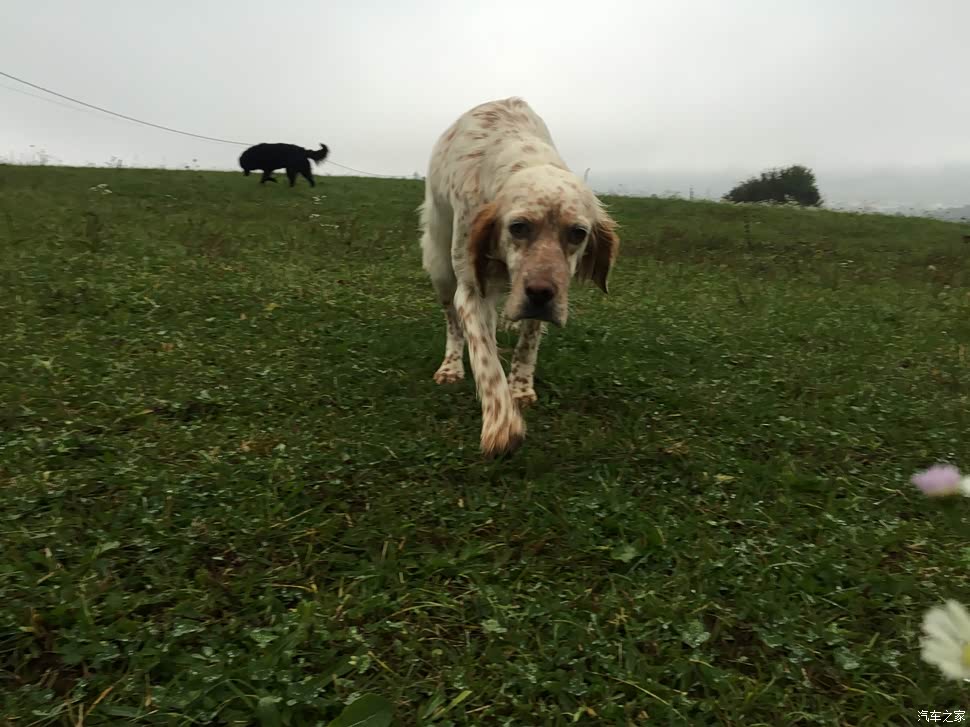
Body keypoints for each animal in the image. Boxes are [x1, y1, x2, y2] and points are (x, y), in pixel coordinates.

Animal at [418, 97, 620, 457]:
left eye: (578, 233)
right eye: (518, 227)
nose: (540, 294)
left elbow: (528, 341)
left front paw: (521, 387)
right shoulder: (471, 287)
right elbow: (483, 353)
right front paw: (502, 423)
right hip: (439, 263)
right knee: (454, 324)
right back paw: (451, 366)